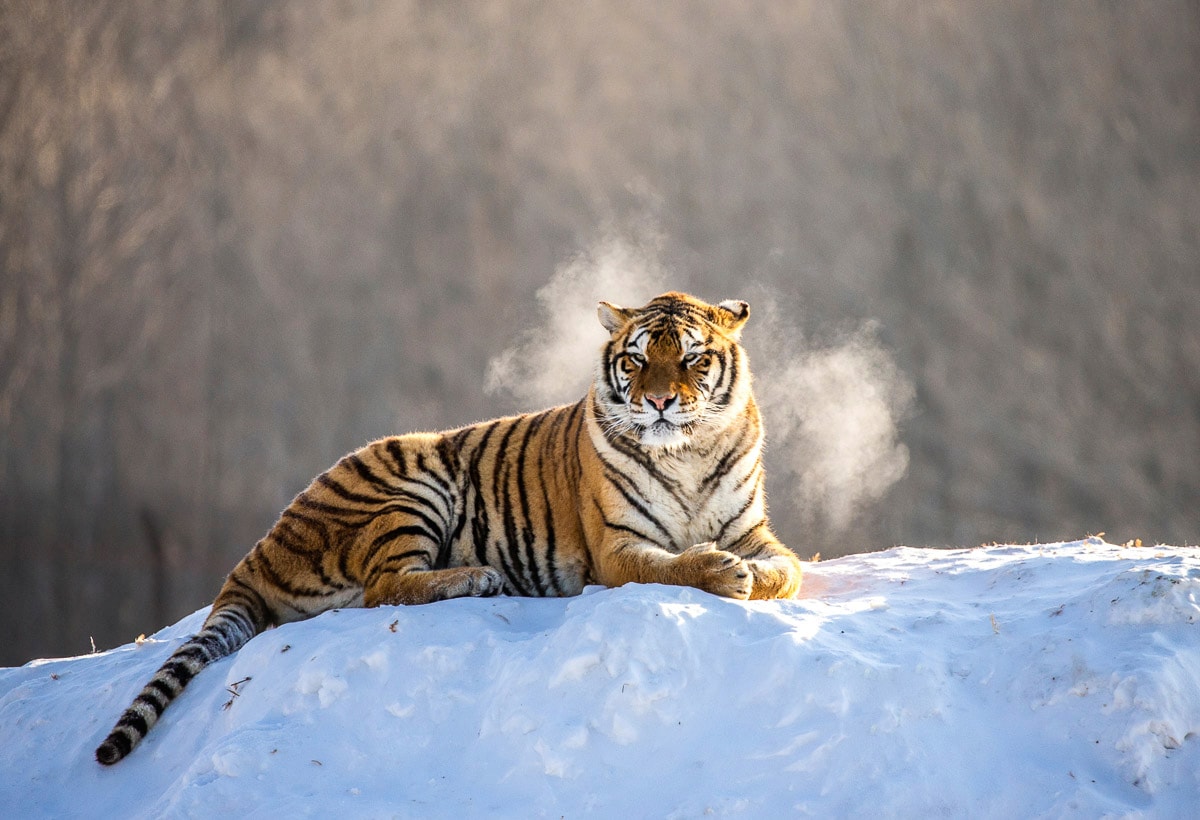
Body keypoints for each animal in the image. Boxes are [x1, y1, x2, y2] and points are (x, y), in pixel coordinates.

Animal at [96, 291, 806, 768]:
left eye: (690, 358)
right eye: (635, 362)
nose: (657, 402)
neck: (687, 452)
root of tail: (258, 553)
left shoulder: (753, 527)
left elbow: (789, 568)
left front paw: (754, 573)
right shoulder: (616, 546)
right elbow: (672, 564)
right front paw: (720, 571)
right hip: (413, 476)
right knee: (385, 587)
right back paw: (479, 577)